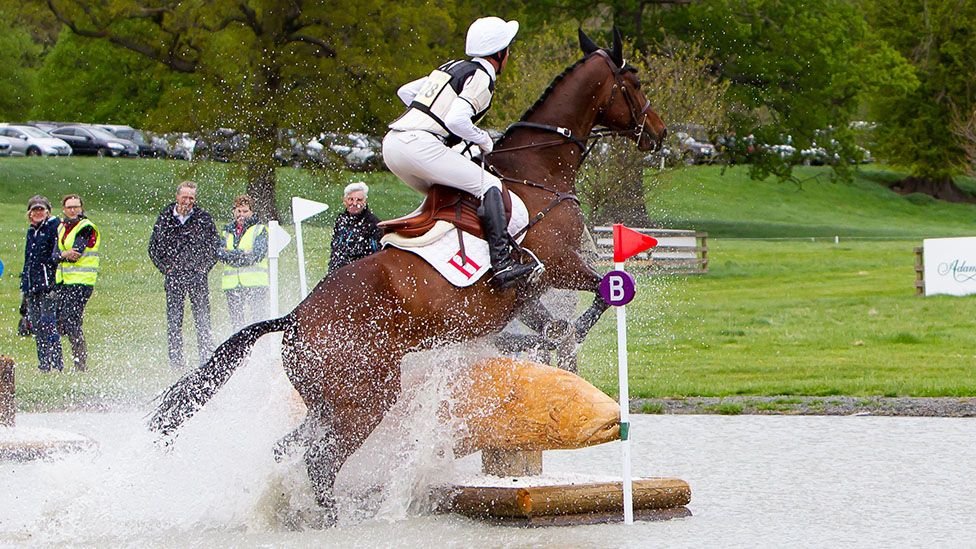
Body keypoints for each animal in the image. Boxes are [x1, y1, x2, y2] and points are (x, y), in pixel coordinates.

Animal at [149, 28, 668, 524]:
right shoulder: (557, 264)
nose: (659, 134)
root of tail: (293, 319)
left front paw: (551, 350)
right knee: (319, 460)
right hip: (365, 400)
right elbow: (605, 292)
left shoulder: (527, 294)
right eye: (636, 83)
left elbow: (556, 324)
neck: (537, 170)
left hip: (330, 404)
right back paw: (336, 519)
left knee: (288, 449)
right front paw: (567, 345)